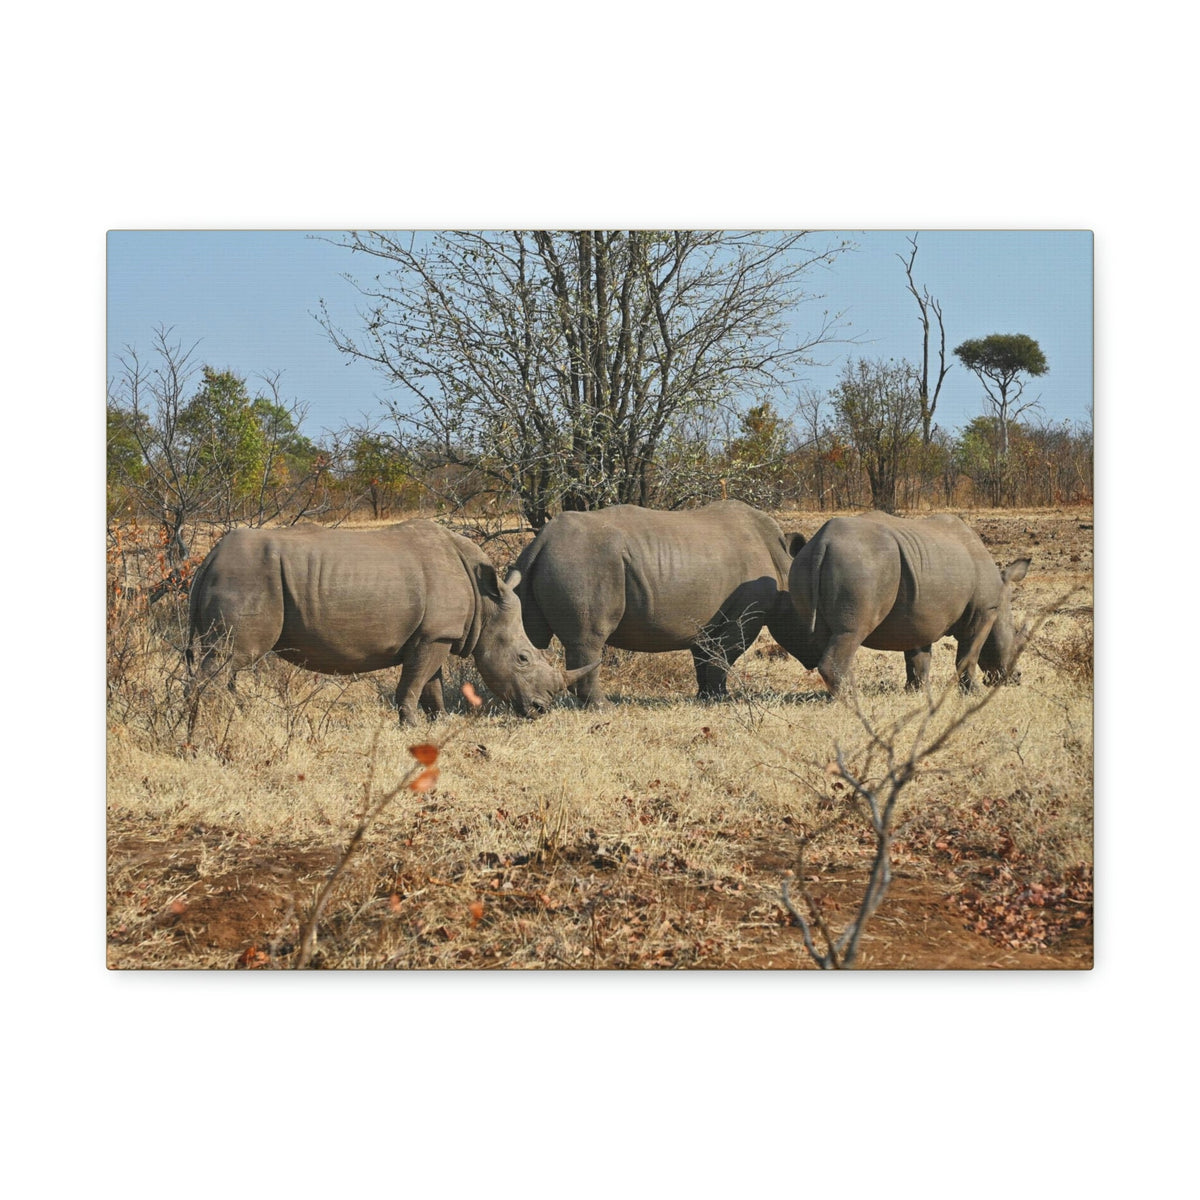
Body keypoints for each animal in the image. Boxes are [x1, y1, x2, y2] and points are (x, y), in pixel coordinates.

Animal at [186, 521, 592, 726]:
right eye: (523, 658)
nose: (541, 710)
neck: (486, 603)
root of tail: (209, 559)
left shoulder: (436, 634)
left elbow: (431, 683)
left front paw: (439, 723)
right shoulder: (434, 635)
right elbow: (413, 683)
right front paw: (410, 725)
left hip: (239, 576)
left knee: (227, 663)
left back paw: (234, 719)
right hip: (248, 577)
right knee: (230, 659)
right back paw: (214, 727)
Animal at [510, 501, 809, 707]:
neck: (783, 567)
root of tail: (542, 540)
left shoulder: (706, 620)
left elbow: (704, 657)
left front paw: (705, 697)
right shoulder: (746, 614)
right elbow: (725, 653)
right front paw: (720, 699)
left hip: (549, 562)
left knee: (532, 636)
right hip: (582, 562)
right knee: (588, 641)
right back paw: (602, 708)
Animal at [787, 511, 1031, 696]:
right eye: (1016, 643)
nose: (1017, 678)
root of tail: (822, 542)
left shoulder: (919, 616)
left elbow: (918, 658)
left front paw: (918, 692)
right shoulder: (984, 612)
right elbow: (968, 655)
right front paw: (974, 693)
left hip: (804, 564)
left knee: (826, 636)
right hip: (860, 564)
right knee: (851, 632)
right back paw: (854, 700)